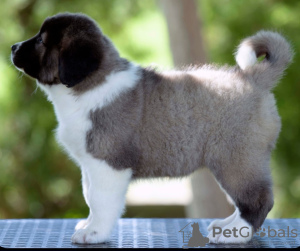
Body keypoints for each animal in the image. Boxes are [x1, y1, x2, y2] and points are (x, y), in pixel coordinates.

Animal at [10, 12, 292, 244]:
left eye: (41, 41)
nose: (12, 47)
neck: (88, 87)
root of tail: (253, 78)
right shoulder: (90, 165)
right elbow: (90, 196)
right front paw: (88, 225)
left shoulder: (108, 165)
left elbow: (101, 201)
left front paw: (95, 233)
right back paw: (226, 226)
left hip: (235, 159)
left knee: (257, 200)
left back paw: (233, 235)